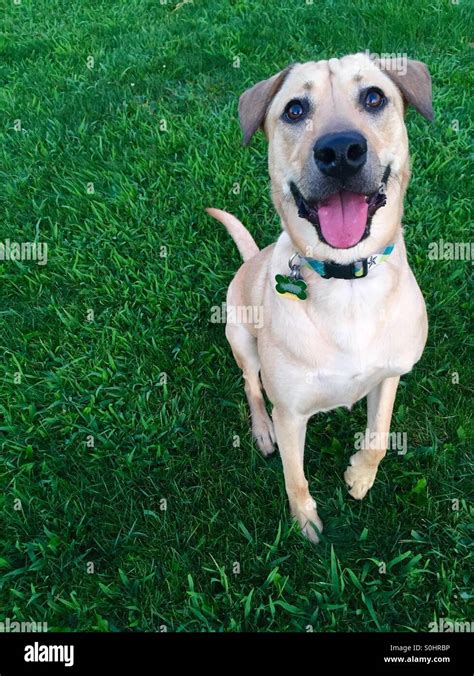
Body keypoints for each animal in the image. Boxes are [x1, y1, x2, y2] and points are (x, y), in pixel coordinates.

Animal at [206, 52, 432, 544]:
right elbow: (295, 476)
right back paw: (261, 431)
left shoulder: (391, 375)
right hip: (240, 337)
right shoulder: (291, 413)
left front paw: (360, 476)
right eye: (294, 110)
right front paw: (305, 522)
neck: (347, 284)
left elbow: (380, 436)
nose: (340, 151)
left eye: (374, 97)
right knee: (251, 386)